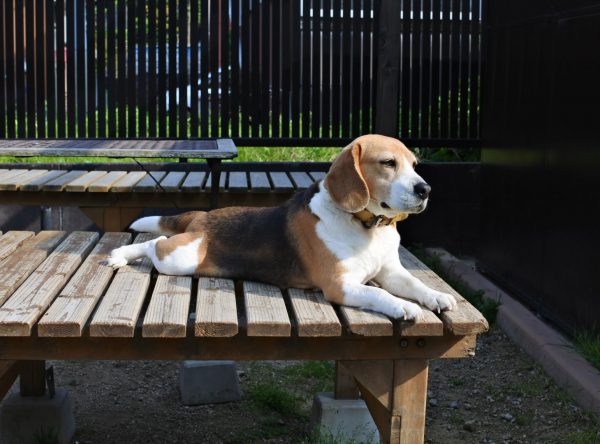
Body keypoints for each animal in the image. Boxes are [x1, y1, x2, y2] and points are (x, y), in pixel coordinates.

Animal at [106, 134, 454, 318]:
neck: (367, 227)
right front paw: (402, 306)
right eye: (387, 163)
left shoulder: (391, 271)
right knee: (153, 244)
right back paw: (121, 255)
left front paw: (435, 296)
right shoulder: (341, 285)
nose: (425, 190)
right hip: (182, 259)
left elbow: (415, 284)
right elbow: (379, 294)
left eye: (414, 164)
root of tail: (203, 215)